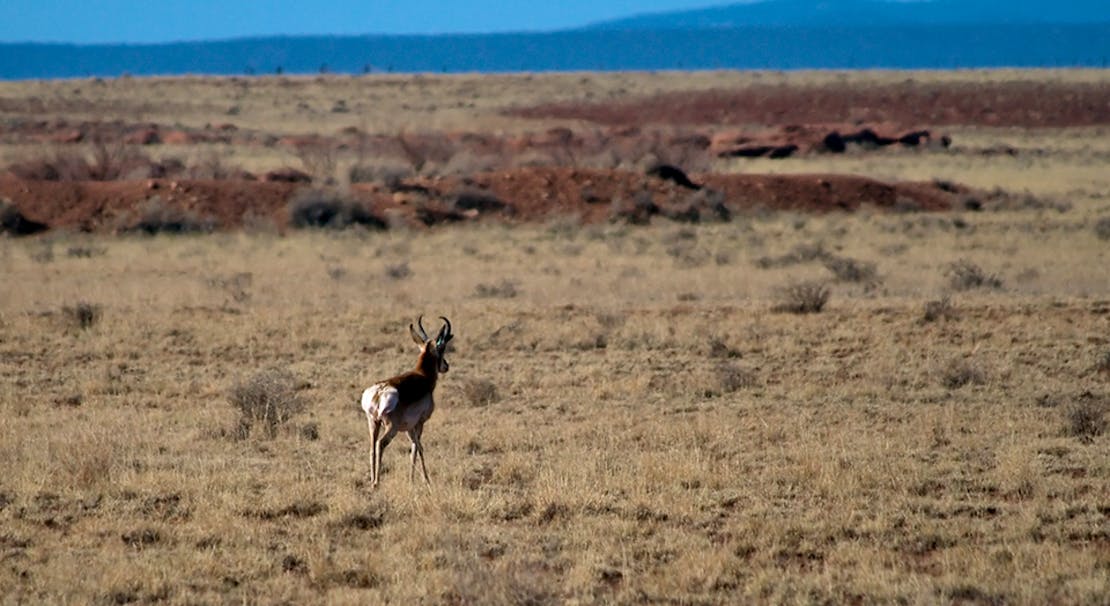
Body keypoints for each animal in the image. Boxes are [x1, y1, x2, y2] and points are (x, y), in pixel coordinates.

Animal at [361, 315, 452, 486]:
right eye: (442, 348)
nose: (446, 366)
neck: (422, 376)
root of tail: (380, 391)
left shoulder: (409, 428)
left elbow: (414, 447)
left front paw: (413, 478)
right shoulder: (419, 424)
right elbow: (418, 448)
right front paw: (424, 479)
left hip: (373, 423)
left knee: (372, 447)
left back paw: (371, 481)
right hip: (391, 428)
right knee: (380, 444)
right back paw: (376, 483)